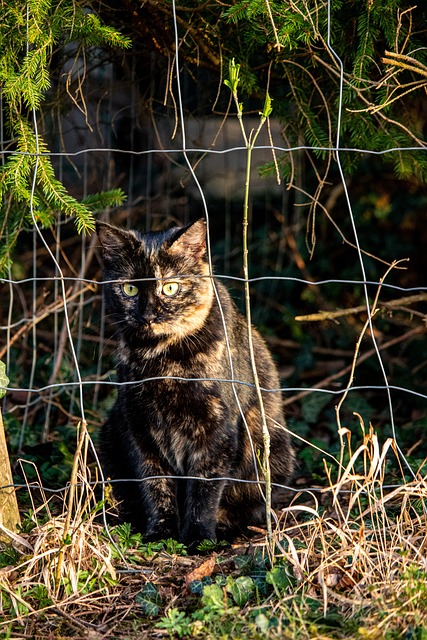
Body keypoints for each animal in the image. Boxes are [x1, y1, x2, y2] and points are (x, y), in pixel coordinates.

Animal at [97, 219, 296, 544]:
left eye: (170, 287)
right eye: (129, 289)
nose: (148, 314)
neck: (163, 361)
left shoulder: (217, 429)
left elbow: (203, 488)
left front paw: (199, 538)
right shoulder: (138, 425)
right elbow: (155, 484)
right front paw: (160, 533)